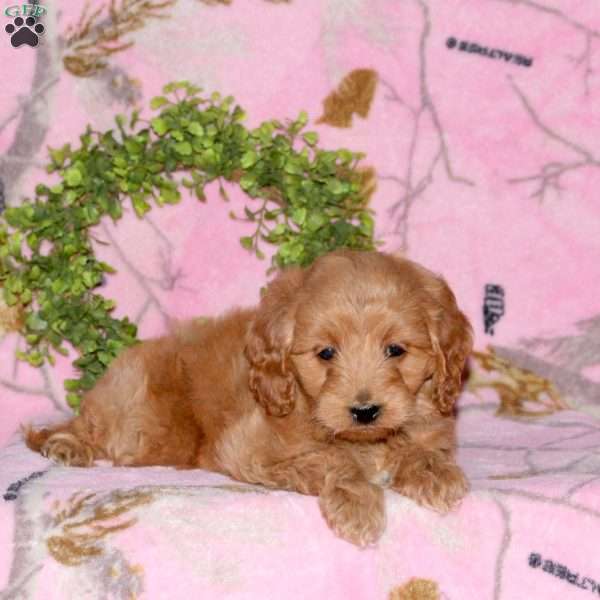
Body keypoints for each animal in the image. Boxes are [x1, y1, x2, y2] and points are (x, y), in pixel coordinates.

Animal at [24, 251, 474, 548]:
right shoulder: (246, 446)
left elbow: (419, 447)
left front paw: (434, 473)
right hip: (140, 418)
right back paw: (65, 444)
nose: (364, 411)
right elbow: (331, 459)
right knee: (92, 428)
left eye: (396, 350)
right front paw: (358, 505)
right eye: (326, 353)